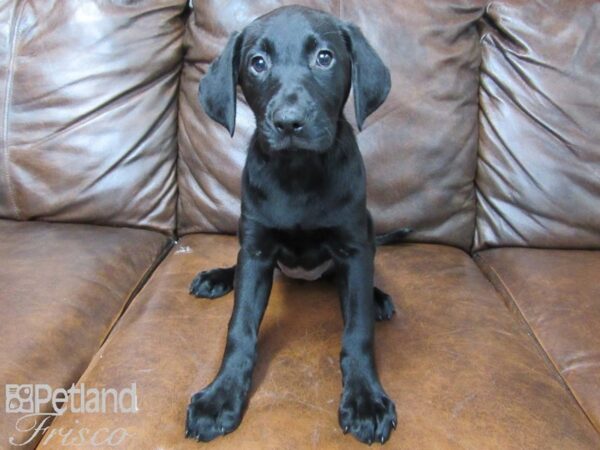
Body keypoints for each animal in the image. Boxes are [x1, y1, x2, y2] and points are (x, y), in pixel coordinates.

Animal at [186, 5, 404, 444]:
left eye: (325, 57)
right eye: (257, 63)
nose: (289, 123)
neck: (299, 173)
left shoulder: (353, 247)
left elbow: (358, 332)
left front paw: (365, 401)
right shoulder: (256, 249)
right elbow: (239, 329)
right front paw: (221, 396)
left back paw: (377, 298)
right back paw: (218, 277)